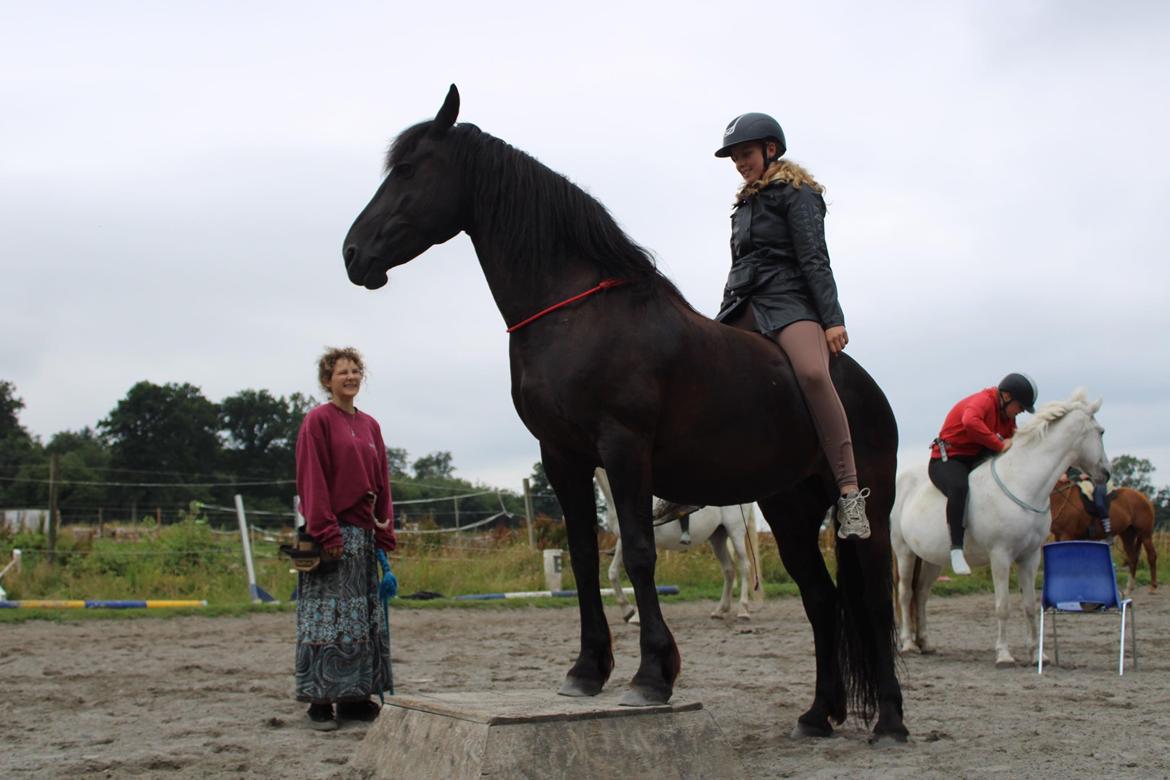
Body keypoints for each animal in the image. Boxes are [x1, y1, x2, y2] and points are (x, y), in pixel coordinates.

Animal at [594, 470, 758, 622]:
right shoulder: (623, 540)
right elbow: (613, 572)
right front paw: (629, 612)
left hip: (735, 532)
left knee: (745, 566)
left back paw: (743, 611)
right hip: (718, 537)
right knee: (729, 569)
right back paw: (720, 610)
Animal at [889, 388, 1109, 664]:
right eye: (1101, 431)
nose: (1106, 473)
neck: (1022, 481)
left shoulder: (1030, 557)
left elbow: (1029, 606)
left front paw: (1037, 654)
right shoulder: (1001, 555)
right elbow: (1002, 606)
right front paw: (1004, 654)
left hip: (930, 559)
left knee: (920, 594)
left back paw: (925, 643)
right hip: (904, 552)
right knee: (905, 593)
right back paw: (908, 643)